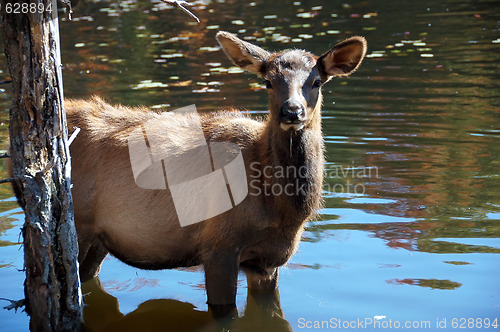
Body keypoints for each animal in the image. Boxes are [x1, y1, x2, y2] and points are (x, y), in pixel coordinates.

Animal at [25, 32, 366, 316]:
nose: (292, 111)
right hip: (75, 223)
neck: (282, 211)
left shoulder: (268, 261)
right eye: (268, 81)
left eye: (317, 81)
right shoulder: (218, 245)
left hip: (99, 240)